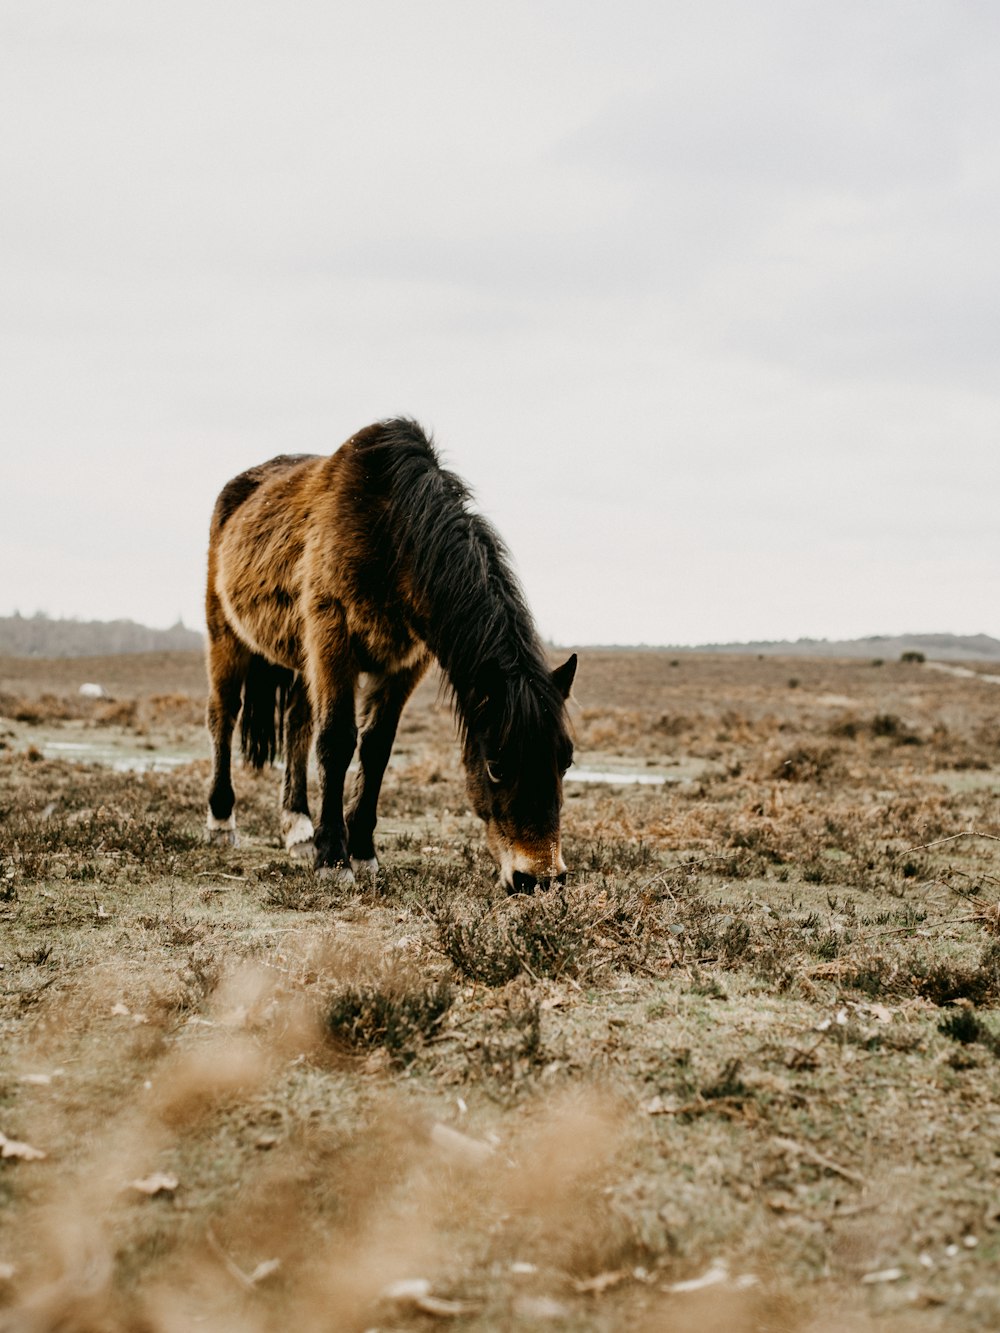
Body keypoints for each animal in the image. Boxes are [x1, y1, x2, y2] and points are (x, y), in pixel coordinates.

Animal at [204, 421, 578, 890]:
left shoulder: (404, 664)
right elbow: (337, 742)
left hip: (303, 660)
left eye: (566, 760)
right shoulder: (333, 640)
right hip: (226, 636)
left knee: (296, 725)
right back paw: (221, 821)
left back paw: (298, 827)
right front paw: (333, 859)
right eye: (494, 764)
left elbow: (376, 748)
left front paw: (362, 851)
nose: (540, 878)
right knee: (224, 715)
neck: (391, 535)